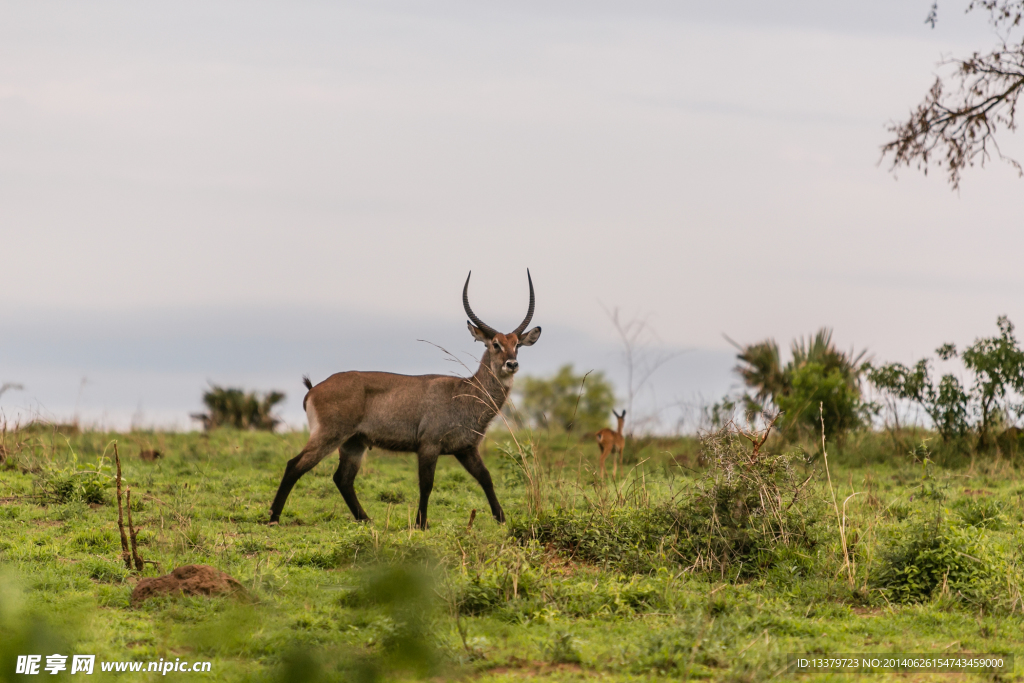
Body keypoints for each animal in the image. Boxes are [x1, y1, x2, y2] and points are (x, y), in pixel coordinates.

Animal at [270, 270, 544, 532]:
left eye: (517, 344)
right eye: (495, 344)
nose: (512, 364)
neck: (466, 392)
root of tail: (314, 389)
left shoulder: (466, 449)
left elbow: (486, 478)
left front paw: (502, 519)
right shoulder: (429, 445)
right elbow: (427, 484)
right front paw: (421, 524)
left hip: (354, 443)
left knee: (342, 479)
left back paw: (366, 520)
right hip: (330, 435)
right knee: (294, 465)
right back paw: (274, 518)